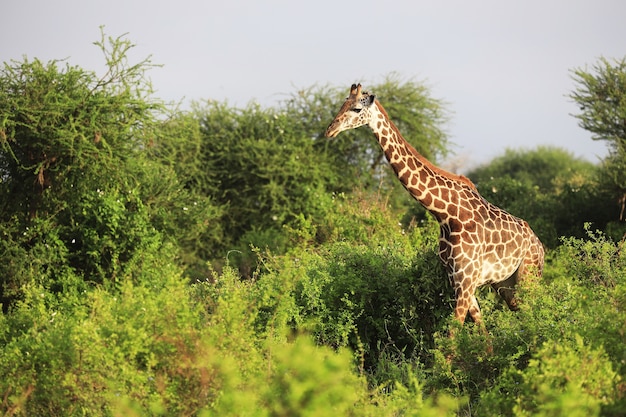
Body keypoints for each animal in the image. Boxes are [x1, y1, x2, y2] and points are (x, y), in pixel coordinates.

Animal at [324, 83, 544, 324]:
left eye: (356, 108)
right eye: (342, 103)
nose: (330, 130)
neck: (445, 214)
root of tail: (541, 246)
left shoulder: (467, 280)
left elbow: (453, 329)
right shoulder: (457, 279)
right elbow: (479, 325)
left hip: (529, 276)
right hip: (505, 285)